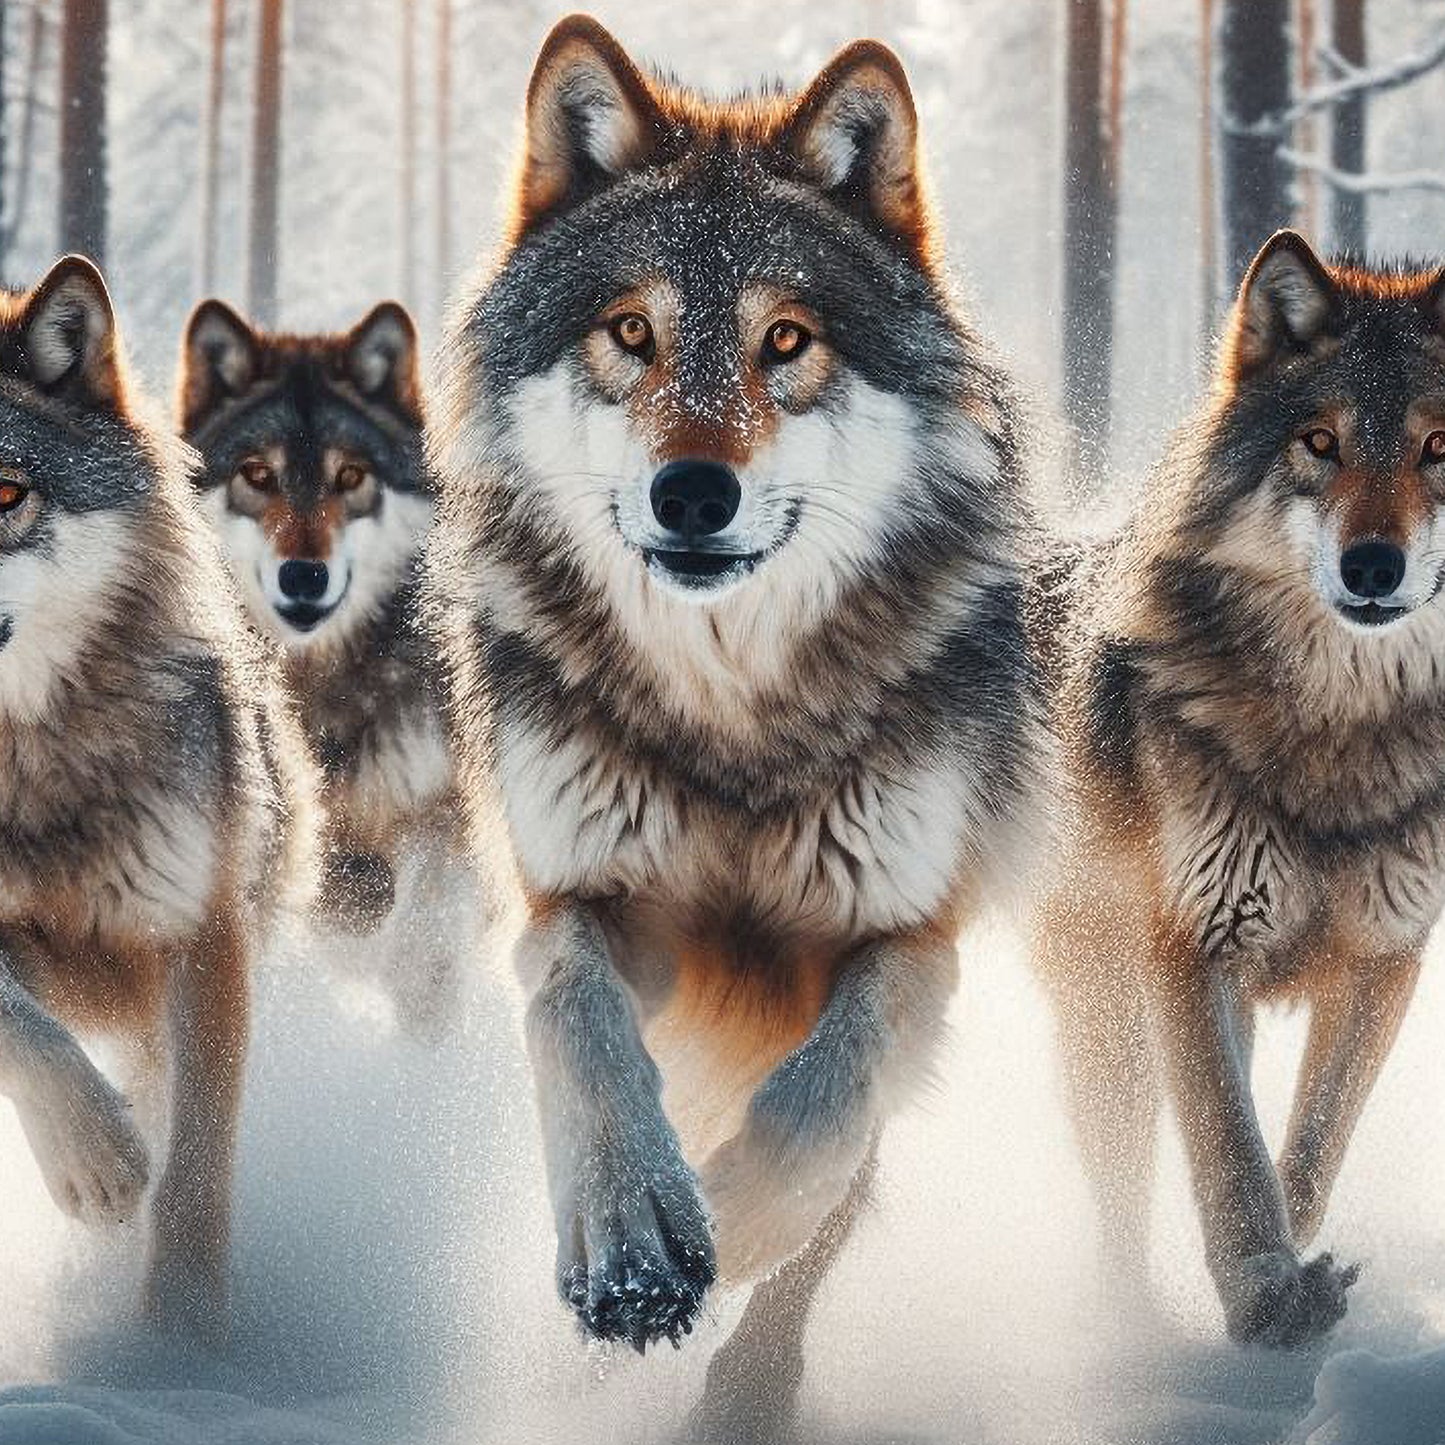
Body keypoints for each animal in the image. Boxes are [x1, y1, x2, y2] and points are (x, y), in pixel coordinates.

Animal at [0, 255, 313, 1328]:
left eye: (5, 491)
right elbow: (22, 1021)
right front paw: (93, 1161)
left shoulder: (202, 937)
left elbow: (192, 1175)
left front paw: (178, 1339)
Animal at [426, 13, 1046, 1428]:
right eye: (630, 331)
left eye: (786, 341)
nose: (693, 493)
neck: (734, 720)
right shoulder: (576, 897)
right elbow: (579, 1025)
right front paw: (632, 1239)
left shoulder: (905, 937)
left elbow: (820, 1109)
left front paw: (734, 1215)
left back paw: (746, 1389)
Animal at [1036, 230, 1445, 1348]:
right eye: (1319, 442)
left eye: (1438, 449)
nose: (1372, 565)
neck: (1339, 735)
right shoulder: (1192, 943)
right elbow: (1227, 1145)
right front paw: (1263, 1292)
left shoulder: (1384, 959)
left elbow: (1308, 1145)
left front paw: (1295, 1272)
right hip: (1109, 1036)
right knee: (1120, 1205)